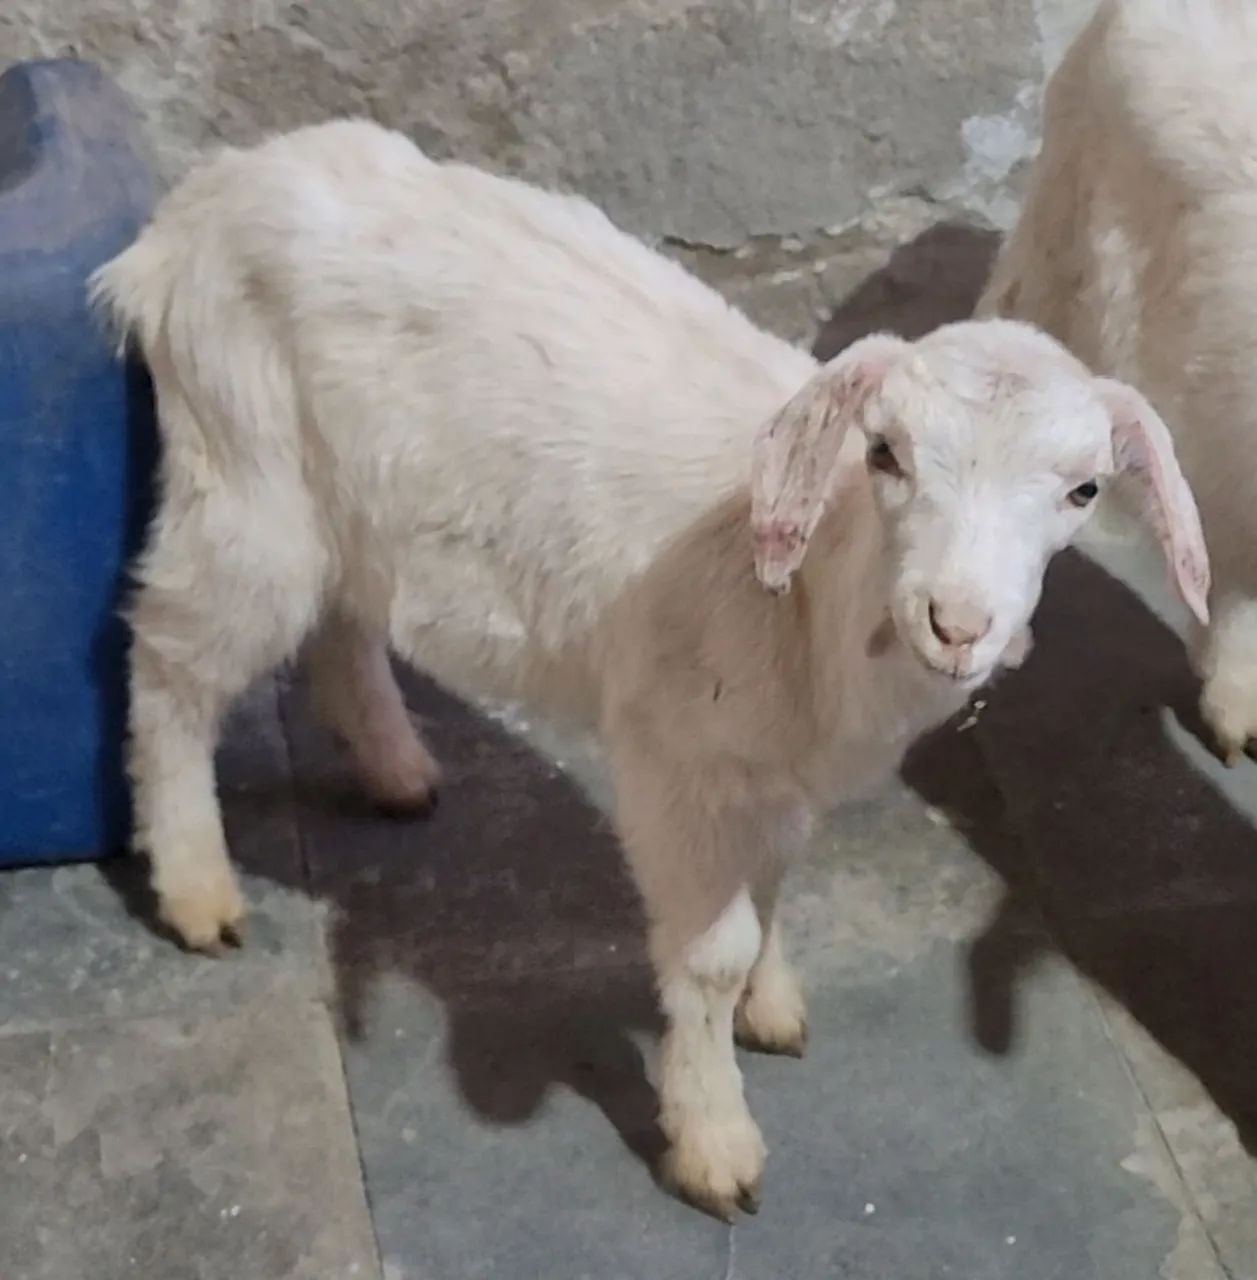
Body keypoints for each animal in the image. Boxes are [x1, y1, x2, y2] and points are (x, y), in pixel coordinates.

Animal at [90, 120, 1209, 1217]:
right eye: (884, 452)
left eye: (1082, 489)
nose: (957, 621)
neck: (818, 594)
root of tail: (191, 212)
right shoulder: (679, 759)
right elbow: (707, 954)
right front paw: (714, 1139)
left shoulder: (770, 773)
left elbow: (771, 886)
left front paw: (772, 1003)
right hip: (242, 475)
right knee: (170, 663)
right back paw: (195, 887)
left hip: (342, 502)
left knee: (342, 619)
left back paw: (394, 769)